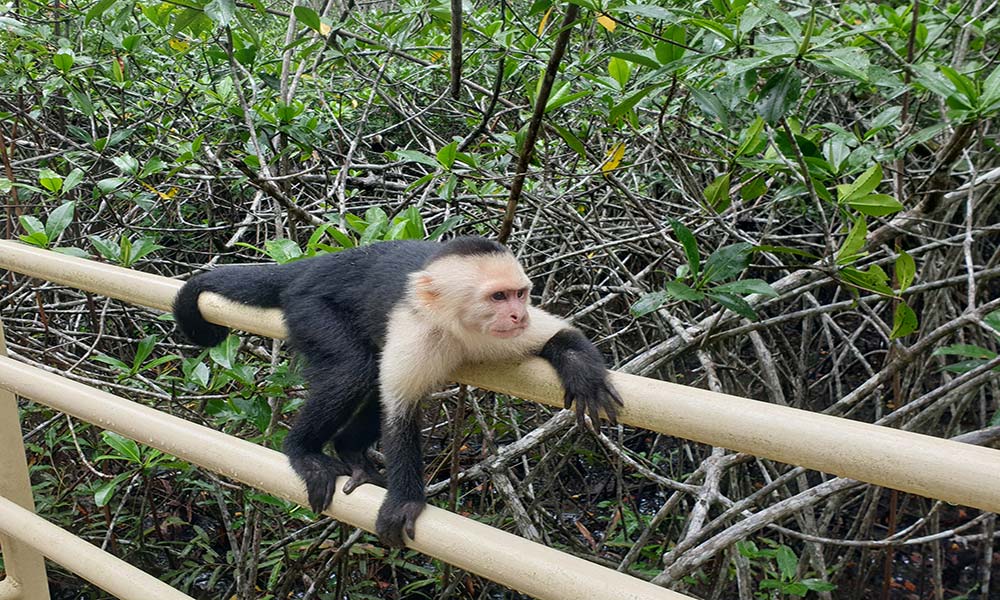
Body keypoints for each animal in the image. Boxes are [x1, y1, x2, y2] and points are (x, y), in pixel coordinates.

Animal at [176, 237, 620, 548]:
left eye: (520, 293)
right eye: (497, 296)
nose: (517, 315)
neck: (459, 328)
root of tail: (319, 263)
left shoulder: (502, 335)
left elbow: (559, 335)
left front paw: (583, 374)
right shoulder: (417, 331)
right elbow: (400, 412)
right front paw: (406, 500)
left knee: (367, 372)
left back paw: (350, 450)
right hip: (307, 305)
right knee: (353, 370)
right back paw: (304, 451)